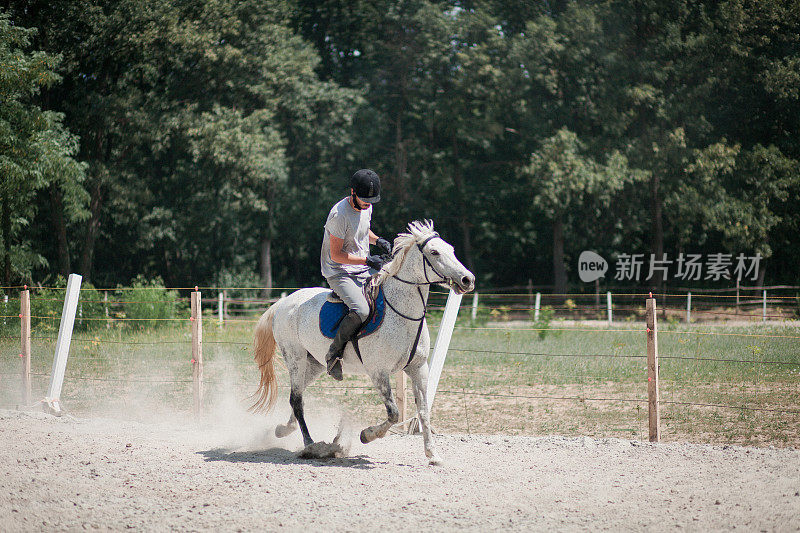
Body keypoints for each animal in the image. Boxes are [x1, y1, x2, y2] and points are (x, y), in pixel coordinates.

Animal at [252, 219, 476, 462]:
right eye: (434, 252)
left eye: (451, 250)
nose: (467, 279)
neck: (403, 313)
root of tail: (283, 303)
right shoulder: (378, 372)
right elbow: (394, 413)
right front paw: (367, 435)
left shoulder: (418, 368)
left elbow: (424, 411)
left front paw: (432, 454)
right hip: (295, 358)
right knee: (296, 400)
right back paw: (311, 445)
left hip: (314, 364)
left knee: (297, 394)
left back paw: (284, 429)